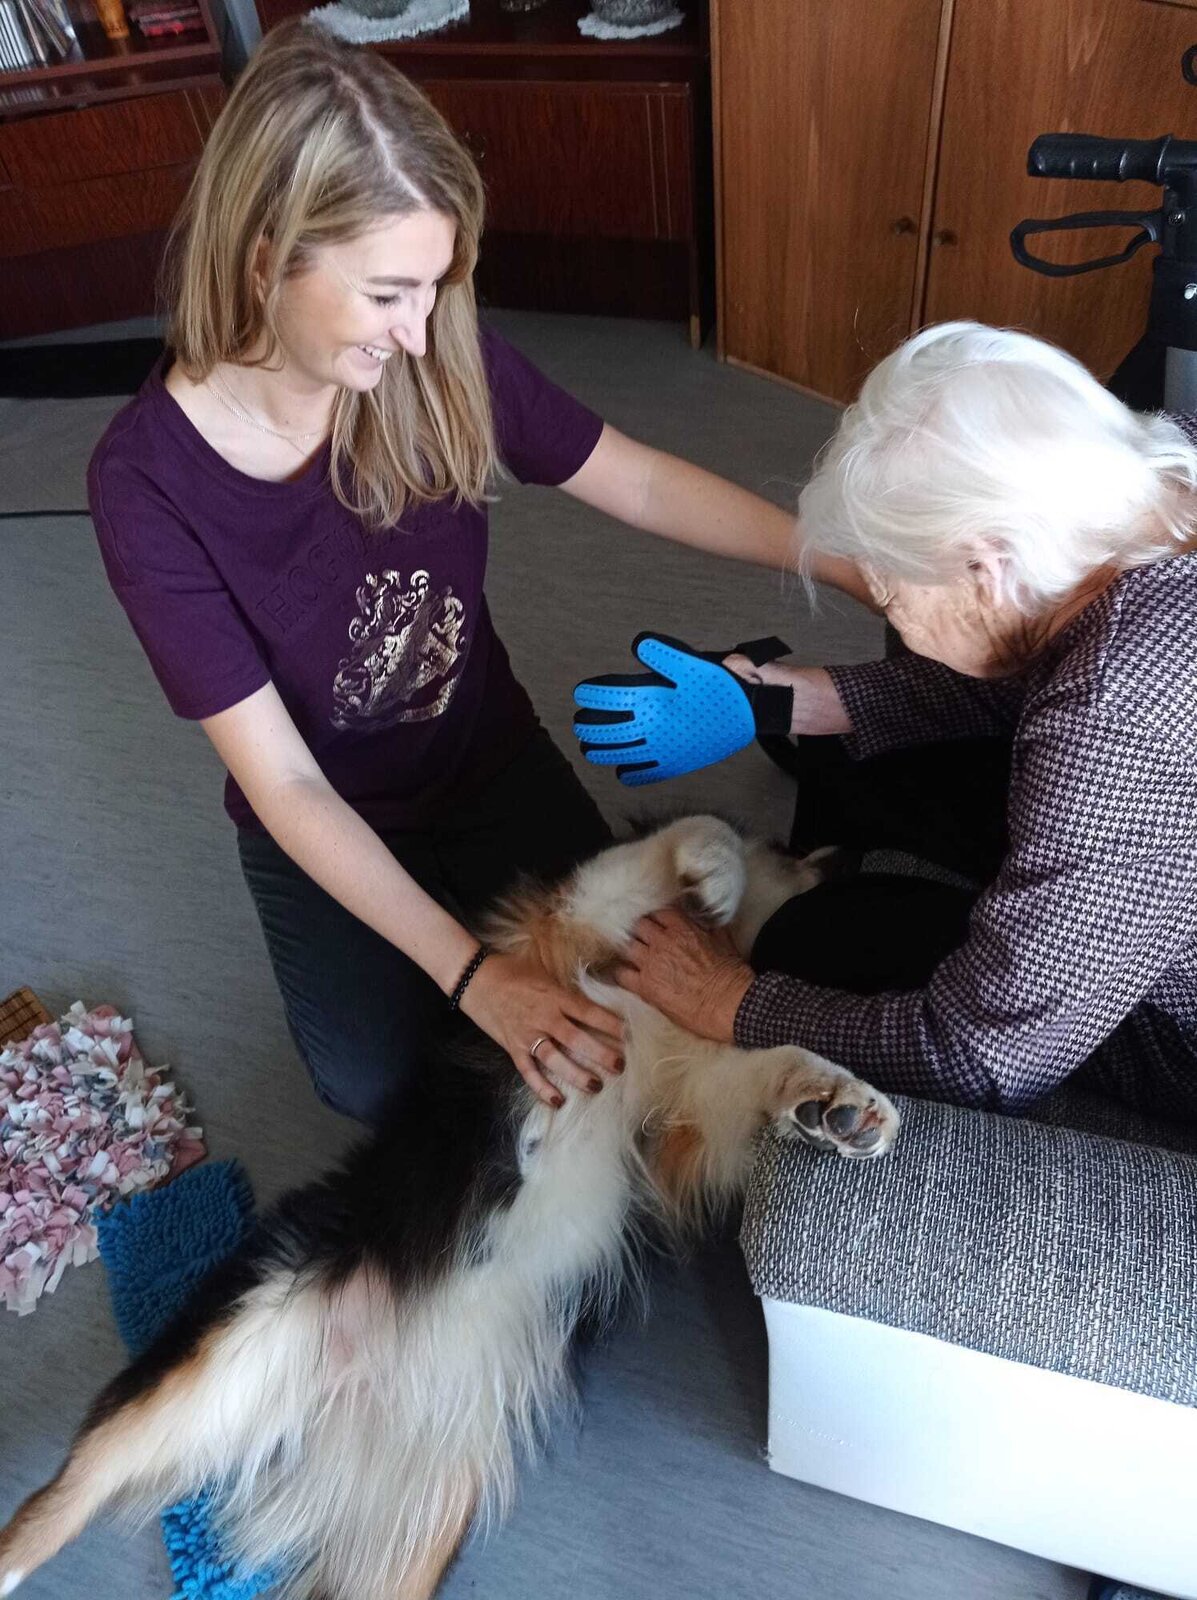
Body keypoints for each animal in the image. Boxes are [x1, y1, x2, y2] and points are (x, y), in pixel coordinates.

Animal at [0, 815, 899, 1600]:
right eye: (789, 844)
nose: (848, 851)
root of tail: (345, 1381)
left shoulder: (689, 1108)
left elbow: (770, 1064)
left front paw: (844, 1108)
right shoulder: (573, 926)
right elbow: (685, 835)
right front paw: (713, 876)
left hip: (422, 1512)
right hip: (219, 1353)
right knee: (54, 1499)